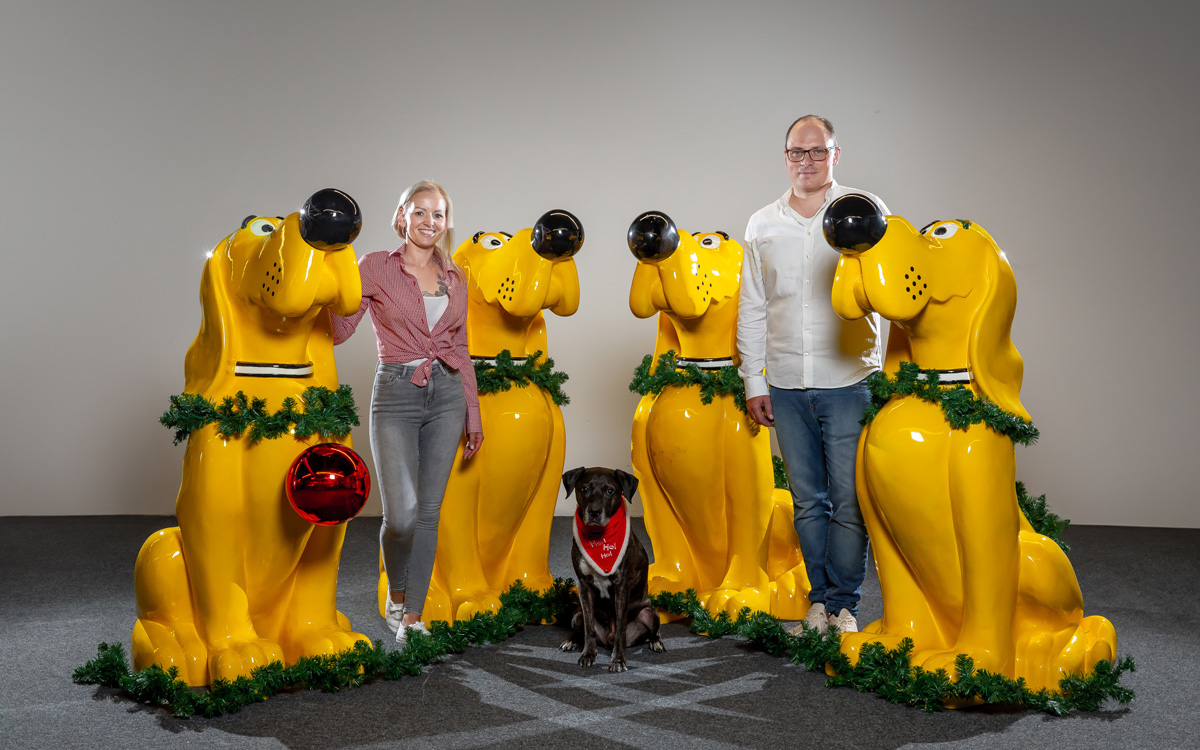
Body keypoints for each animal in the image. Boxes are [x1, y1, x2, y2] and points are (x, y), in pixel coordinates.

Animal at [556, 465, 662, 672]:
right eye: (584, 489)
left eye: (610, 491)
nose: (594, 512)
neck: (600, 539)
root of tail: (607, 640)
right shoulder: (584, 586)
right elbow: (589, 627)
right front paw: (588, 654)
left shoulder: (622, 586)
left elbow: (621, 628)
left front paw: (618, 660)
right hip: (576, 614)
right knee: (581, 626)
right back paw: (571, 641)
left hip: (649, 613)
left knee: (649, 630)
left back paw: (656, 642)